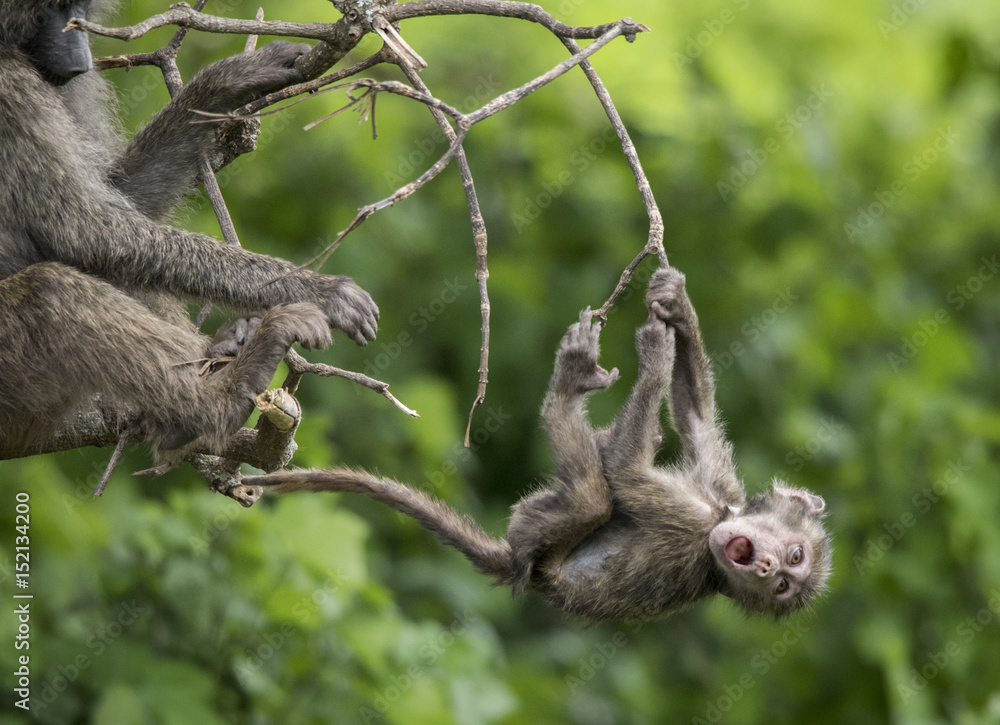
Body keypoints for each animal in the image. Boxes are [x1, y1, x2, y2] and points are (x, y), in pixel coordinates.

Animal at [0, 1, 379, 461]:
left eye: (78, 11)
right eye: (48, 11)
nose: (80, 62)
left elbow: (119, 200)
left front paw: (231, 78)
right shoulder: (10, 90)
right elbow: (87, 229)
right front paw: (320, 290)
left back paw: (220, 358)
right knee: (50, 292)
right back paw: (219, 399)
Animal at [246, 266, 833, 622]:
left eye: (788, 580)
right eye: (794, 557)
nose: (767, 569)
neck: (717, 519)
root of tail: (521, 571)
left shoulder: (690, 524)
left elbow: (629, 472)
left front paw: (655, 352)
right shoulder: (721, 488)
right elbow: (695, 414)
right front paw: (677, 309)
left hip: (536, 539)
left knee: (592, 497)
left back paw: (570, 385)